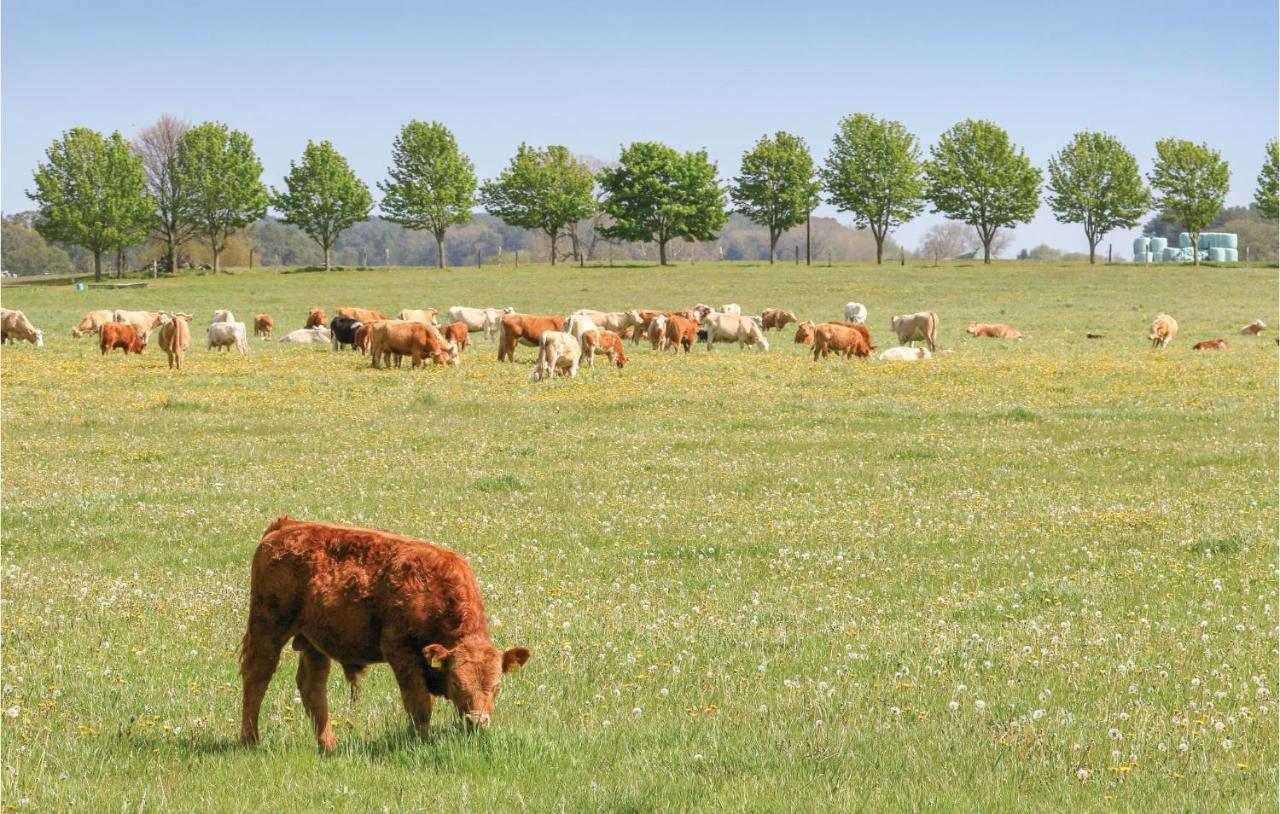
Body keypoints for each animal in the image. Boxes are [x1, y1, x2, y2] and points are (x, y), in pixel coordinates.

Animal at [240, 517, 529, 752]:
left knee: (313, 689)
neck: (435, 591)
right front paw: (421, 744)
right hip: (268, 627)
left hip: (313, 643)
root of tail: (285, 526)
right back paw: (250, 740)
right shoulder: (401, 653)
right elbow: (419, 706)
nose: (476, 720)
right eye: (457, 682)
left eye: (497, 686)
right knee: (257, 676)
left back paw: (329, 747)